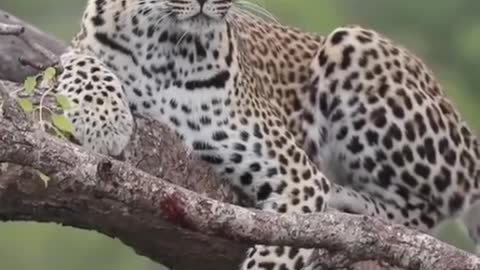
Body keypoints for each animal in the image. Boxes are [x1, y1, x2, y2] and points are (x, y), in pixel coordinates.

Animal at [50, 0, 480, 268]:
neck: (165, 44)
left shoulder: (300, 179)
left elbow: (278, 253)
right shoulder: (80, 48)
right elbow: (76, 61)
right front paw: (102, 118)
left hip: (352, 45)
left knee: (430, 207)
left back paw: (347, 200)